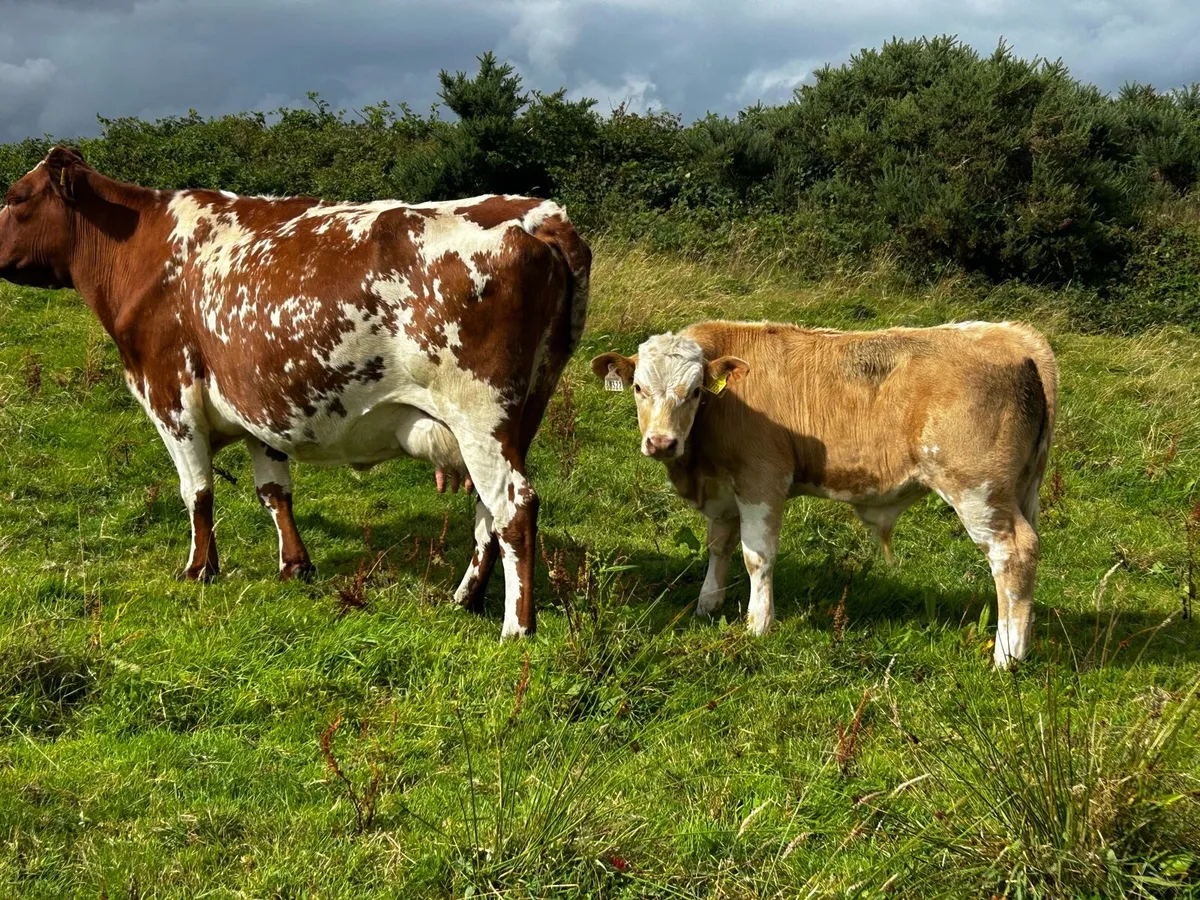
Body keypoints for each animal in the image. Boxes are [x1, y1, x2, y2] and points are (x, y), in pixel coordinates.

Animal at [0, 146, 591, 639]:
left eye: (16, 197)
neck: (145, 250)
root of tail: (538, 215)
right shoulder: (260, 400)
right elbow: (273, 490)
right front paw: (294, 565)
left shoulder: (171, 394)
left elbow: (197, 491)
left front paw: (198, 570)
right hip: (519, 416)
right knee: (489, 512)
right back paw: (464, 598)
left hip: (479, 415)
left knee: (514, 507)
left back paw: (515, 628)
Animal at [591, 319, 1056, 668]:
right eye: (638, 388)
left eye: (694, 392)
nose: (661, 442)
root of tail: (1014, 335)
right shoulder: (722, 489)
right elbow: (718, 546)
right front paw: (709, 602)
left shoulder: (762, 479)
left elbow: (757, 556)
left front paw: (758, 624)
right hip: (1019, 490)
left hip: (977, 489)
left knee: (1012, 554)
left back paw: (1008, 656)